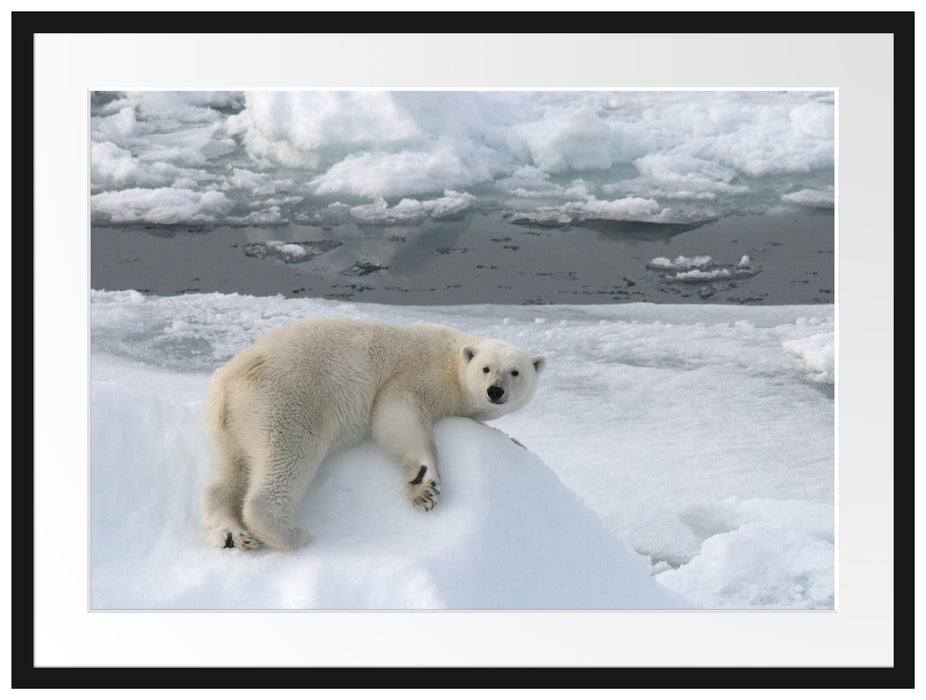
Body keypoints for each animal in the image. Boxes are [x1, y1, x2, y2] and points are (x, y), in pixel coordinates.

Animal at [203, 318, 548, 552]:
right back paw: (290, 533)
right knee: (288, 456)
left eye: (515, 372)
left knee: (230, 473)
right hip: (286, 400)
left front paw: (518, 442)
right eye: (486, 368)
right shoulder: (418, 372)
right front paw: (425, 486)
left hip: (231, 426)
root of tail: (225, 383)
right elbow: (396, 412)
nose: (495, 391)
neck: (452, 358)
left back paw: (233, 534)